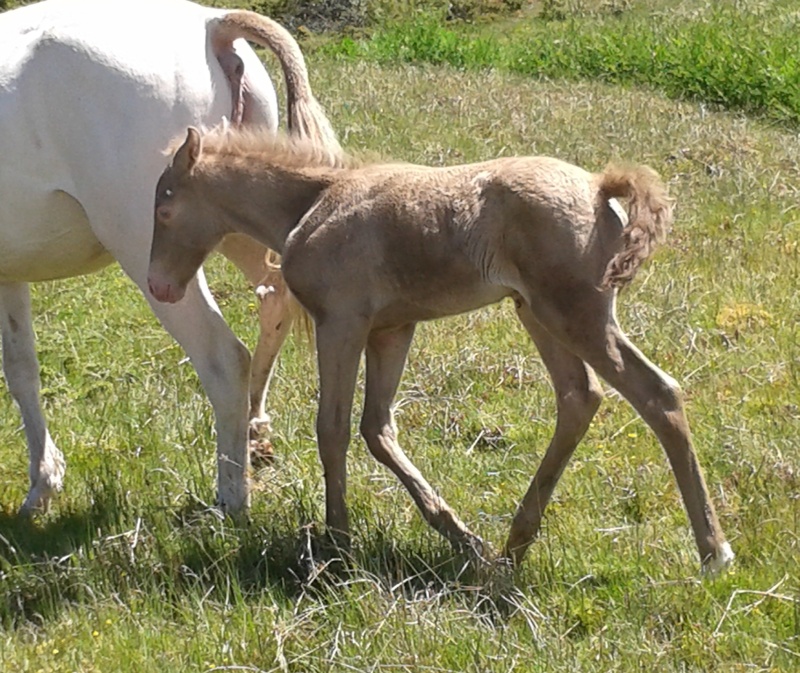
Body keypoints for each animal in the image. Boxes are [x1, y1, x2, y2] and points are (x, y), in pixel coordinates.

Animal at [0, 0, 338, 512]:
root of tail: (211, 26)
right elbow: (22, 370)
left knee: (223, 359)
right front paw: (44, 481)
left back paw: (232, 497)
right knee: (276, 296)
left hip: (151, 257)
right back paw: (254, 427)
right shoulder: (9, 273)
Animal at [147, 127, 736, 572]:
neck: (312, 203)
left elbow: (332, 429)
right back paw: (512, 546)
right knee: (579, 397)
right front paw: (460, 537)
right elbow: (377, 429)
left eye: (165, 211)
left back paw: (714, 552)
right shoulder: (392, 329)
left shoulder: (342, 322)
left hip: (576, 314)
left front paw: (338, 545)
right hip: (538, 312)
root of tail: (598, 186)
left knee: (657, 394)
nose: (160, 285)